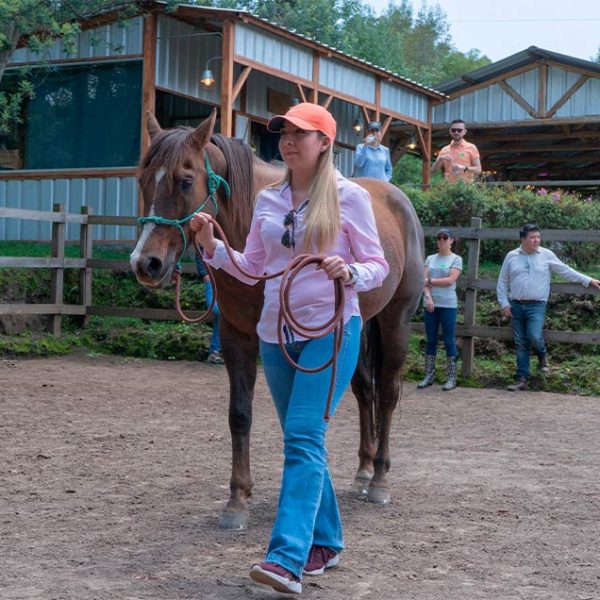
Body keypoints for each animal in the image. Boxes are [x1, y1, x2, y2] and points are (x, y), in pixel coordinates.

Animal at [129, 111, 424, 528]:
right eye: (142, 179)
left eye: (185, 180)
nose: (145, 263)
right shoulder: (235, 335)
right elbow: (240, 414)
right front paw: (237, 499)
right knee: (364, 391)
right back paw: (364, 469)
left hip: (395, 322)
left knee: (386, 394)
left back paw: (380, 478)